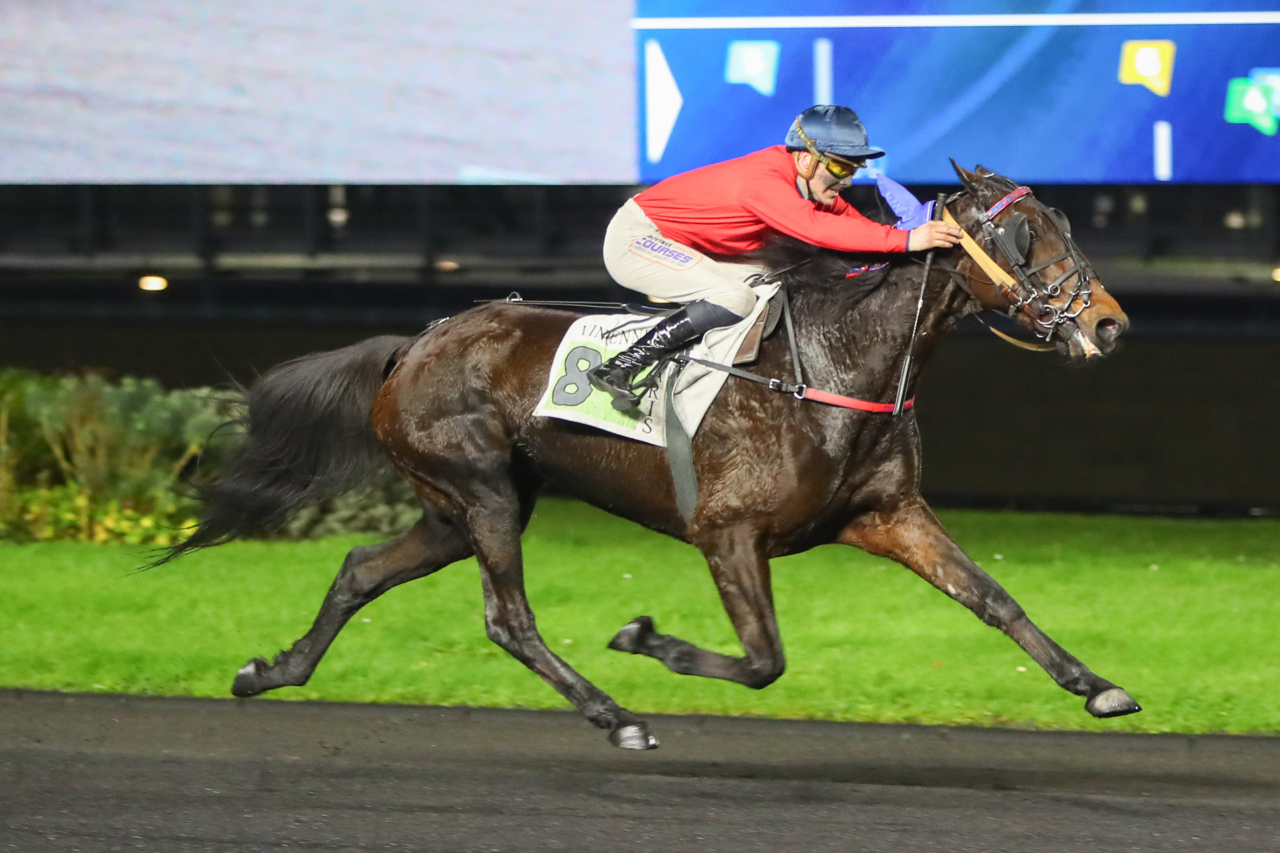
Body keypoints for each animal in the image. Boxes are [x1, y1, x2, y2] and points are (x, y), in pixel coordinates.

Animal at [162, 162, 1138, 750]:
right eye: (1026, 236)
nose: (1108, 324)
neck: (831, 366)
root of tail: (413, 343)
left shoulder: (887, 514)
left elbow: (996, 600)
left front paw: (1098, 686)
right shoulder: (726, 530)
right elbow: (762, 658)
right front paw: (646, 638)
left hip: (460, 505)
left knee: (361, 569)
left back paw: (272, 670)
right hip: (481, 494)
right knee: (508, 619)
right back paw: (615, 713)